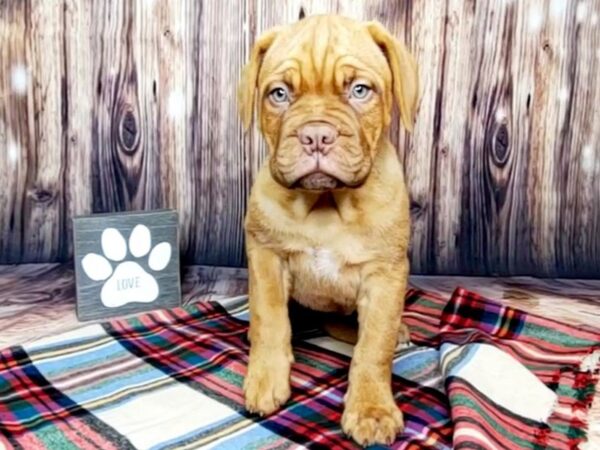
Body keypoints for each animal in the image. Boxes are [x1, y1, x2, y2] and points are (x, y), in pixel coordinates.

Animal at [238, 14, 418, 446]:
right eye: (279, 94)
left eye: (359, 90)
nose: (316, 135)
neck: (325, 204)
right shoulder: (266, 256)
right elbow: (270, 321)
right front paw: (266, 379)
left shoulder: (385, 274)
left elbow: (375, 346)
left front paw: (371, 409)